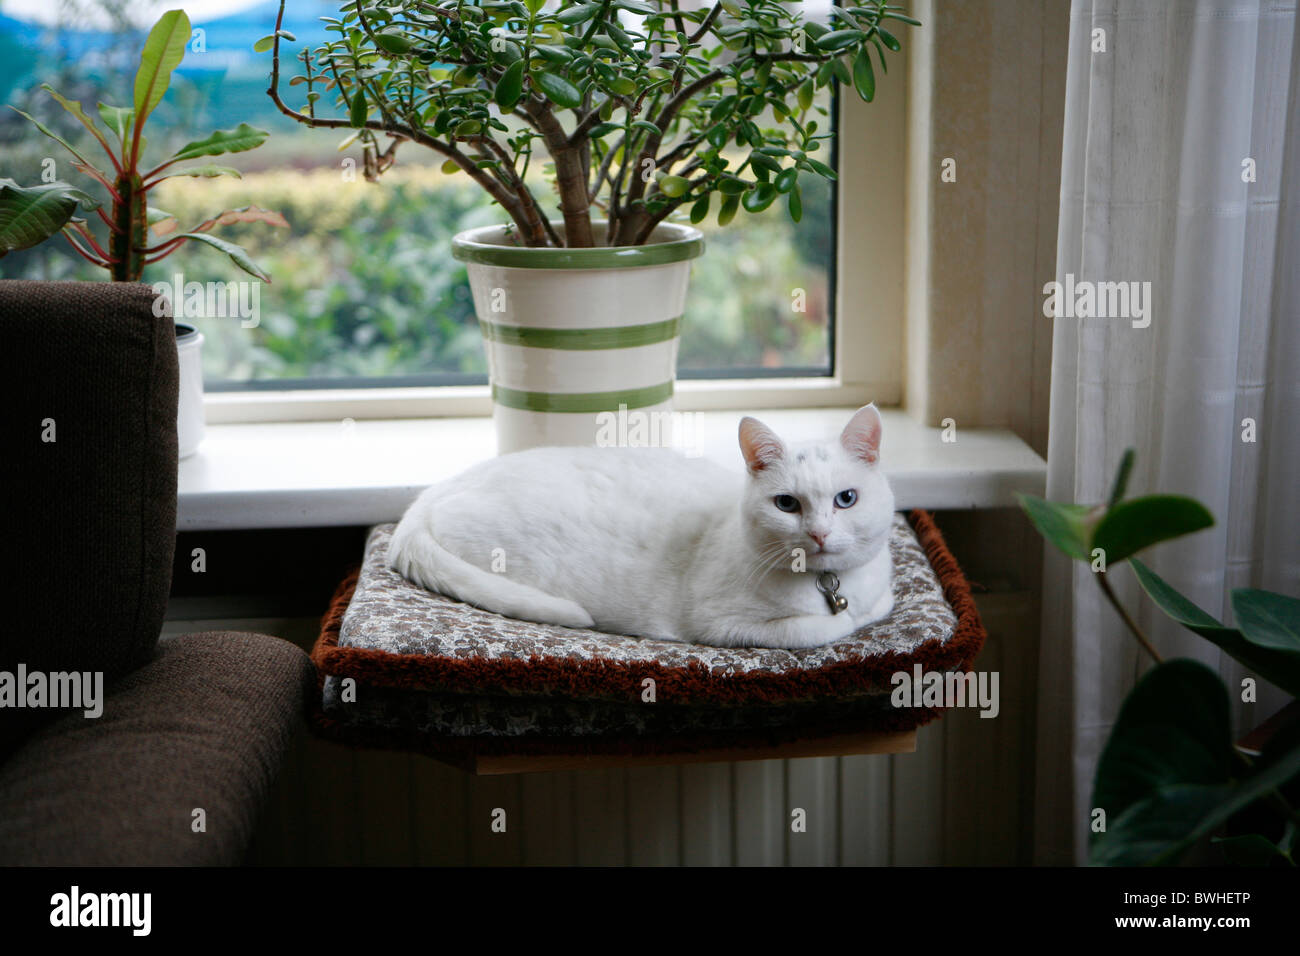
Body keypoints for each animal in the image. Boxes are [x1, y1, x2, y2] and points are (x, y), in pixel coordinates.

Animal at [384, 405, 894, 650]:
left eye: (846, 499)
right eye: (787, 504)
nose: (819, 534)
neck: (829, 586)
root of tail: (427, 498)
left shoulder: (880, 591)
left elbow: (878, 605)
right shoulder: (722, 625)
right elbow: (824, 627)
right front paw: (841, 619)